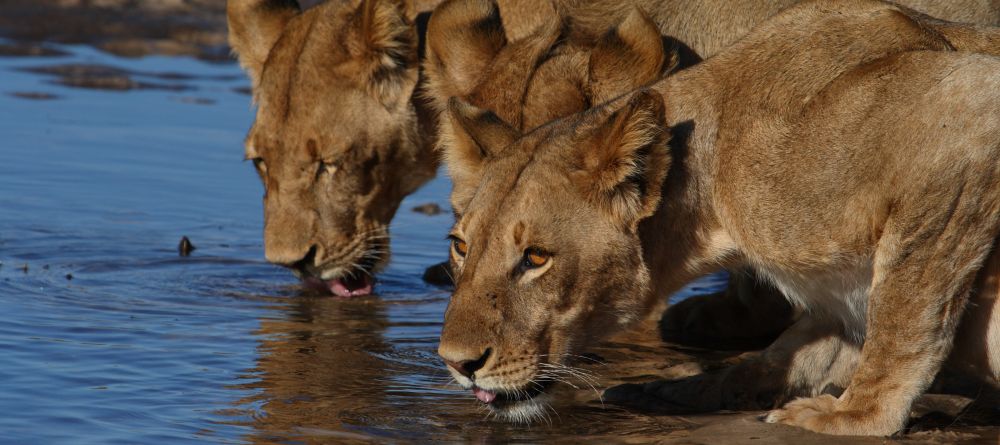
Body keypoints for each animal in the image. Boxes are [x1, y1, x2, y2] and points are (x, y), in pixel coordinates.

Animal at [435, 0, 1000, 435]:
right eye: (461, 245)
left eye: (536, 258)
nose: (457, 364)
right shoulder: (840, 296)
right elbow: (791, 352)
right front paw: (679, 390)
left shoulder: (962, 117)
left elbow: (905, 320)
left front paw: (857, 415)